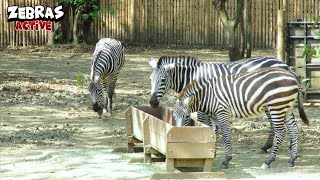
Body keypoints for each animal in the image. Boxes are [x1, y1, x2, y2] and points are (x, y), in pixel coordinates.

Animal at [150, 55, 296, 153]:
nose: (152, 102)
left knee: (275, 122)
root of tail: (283, 63)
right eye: (150, 79)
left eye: (163, 80)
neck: (193, 77)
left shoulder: (204, 104)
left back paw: (268, 146)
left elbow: (205, 124)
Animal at [172, 66, 310, 169]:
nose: (177, 135)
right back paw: (292, 159)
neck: (207, 96)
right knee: (293, 129)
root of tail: (292, 75)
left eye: (186, 116)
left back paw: (269, 161)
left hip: (277, 106)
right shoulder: (214, 117)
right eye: (173, 115)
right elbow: (214, 133)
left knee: (281, 131)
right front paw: (212, 153)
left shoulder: (222, 112)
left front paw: (226, 160)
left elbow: (226, 135)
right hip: (287, 107)